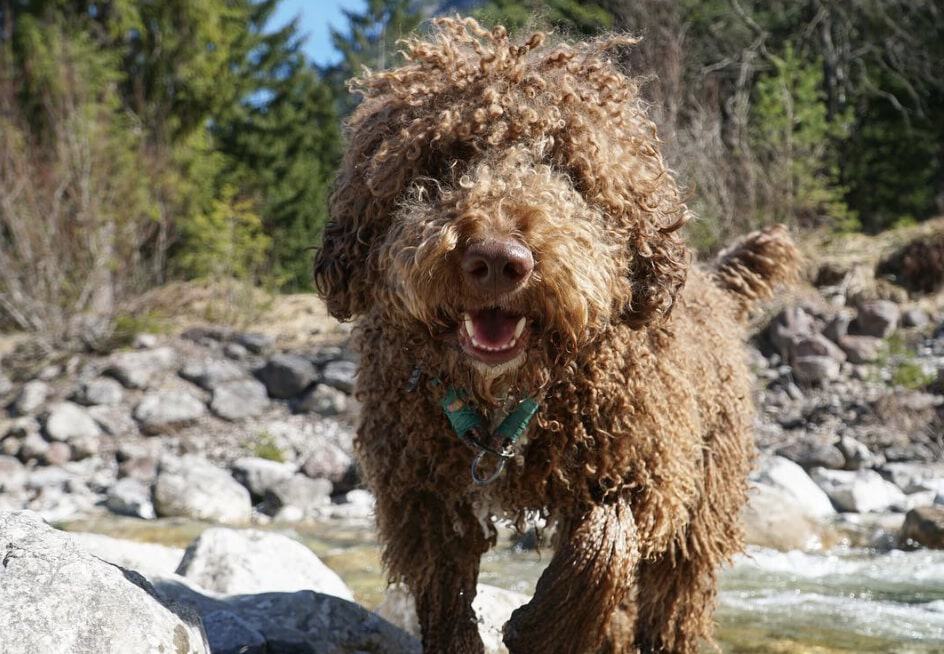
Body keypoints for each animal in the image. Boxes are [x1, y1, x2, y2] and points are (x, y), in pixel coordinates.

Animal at [316, 16, 796, 654]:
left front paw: (543, 627)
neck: (508, 400)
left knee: (677, 594)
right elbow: (444, 596)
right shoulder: (422, 496)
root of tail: (715, 284)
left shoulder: (645, 467)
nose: (498, 260)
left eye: (567, 167)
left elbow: (605, 548)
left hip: (707, 490)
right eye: (445, 156)